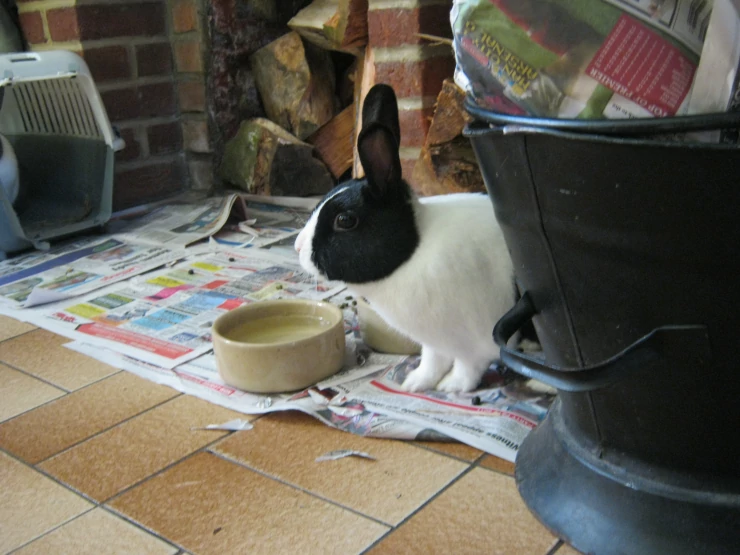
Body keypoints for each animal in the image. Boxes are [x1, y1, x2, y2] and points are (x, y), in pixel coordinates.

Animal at [294, 83, 520, 393]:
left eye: (345, 220)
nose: (297, 247)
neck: (410, 255)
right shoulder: (436, 342)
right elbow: (432, 360)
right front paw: (414, 383)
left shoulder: (477, 339)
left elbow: (468, 366)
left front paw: (451, 387)